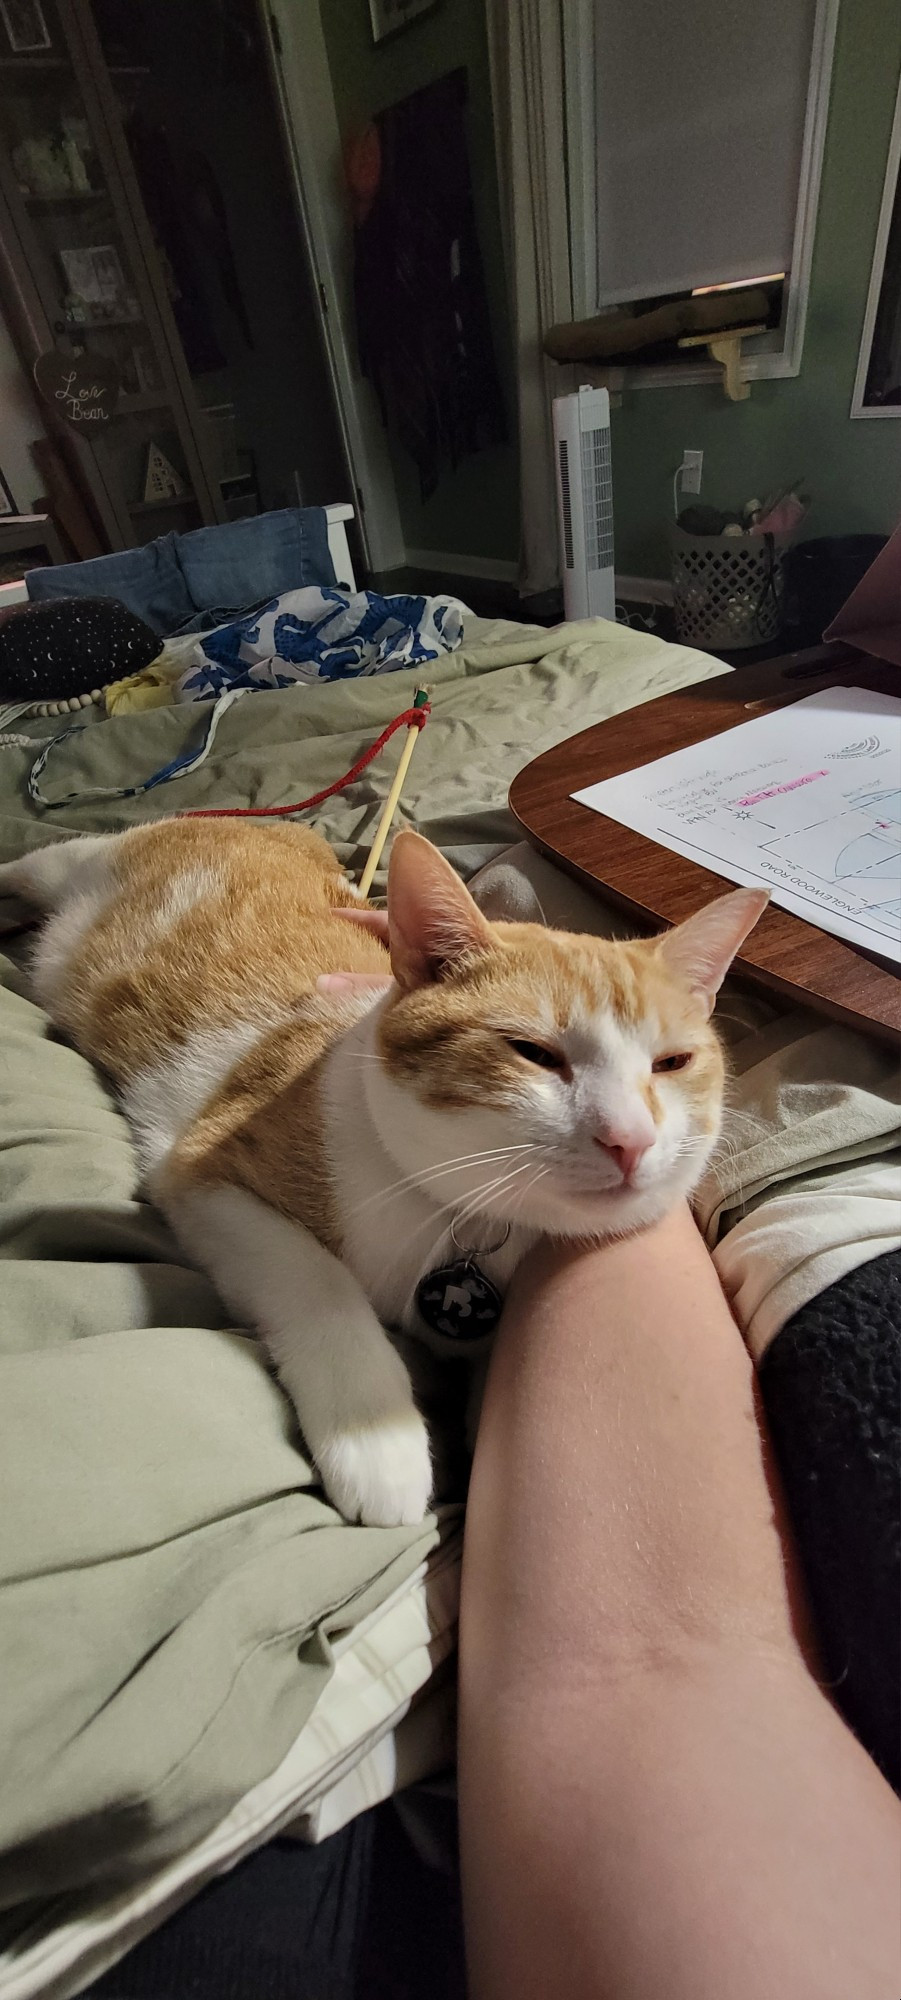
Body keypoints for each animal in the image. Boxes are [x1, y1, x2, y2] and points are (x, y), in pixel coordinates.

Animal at [0, 828, 768, 1528]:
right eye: (532, 1053)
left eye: (672, 1063)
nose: (629, 1139)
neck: (458, 1214)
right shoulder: (205, 1171)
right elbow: (318, 1280)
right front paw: (380, 1440)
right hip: (77, 862)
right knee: (35, 860)